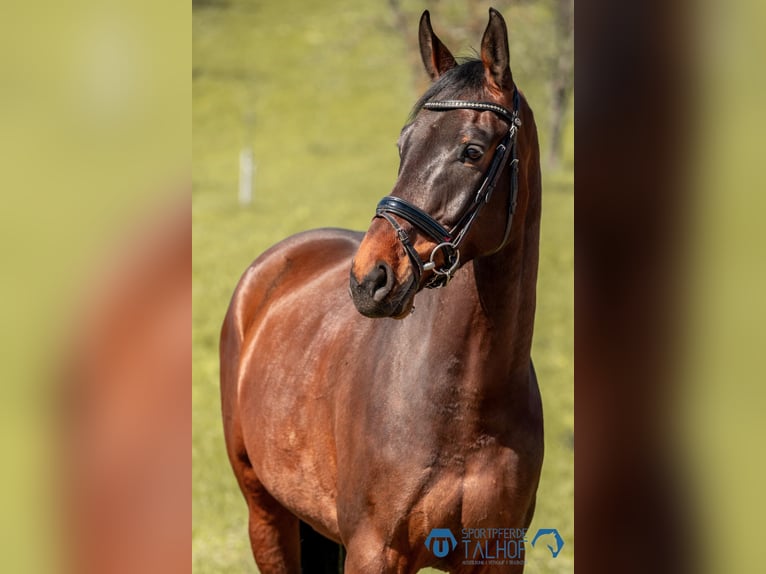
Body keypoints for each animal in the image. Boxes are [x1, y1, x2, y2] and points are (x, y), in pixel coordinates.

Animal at [220, 8, 543, 573]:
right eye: (403, 144)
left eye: (472, 151)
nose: (369, 278)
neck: (463, 405)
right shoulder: (375, 550)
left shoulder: (501, 555)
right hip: (267, 516)